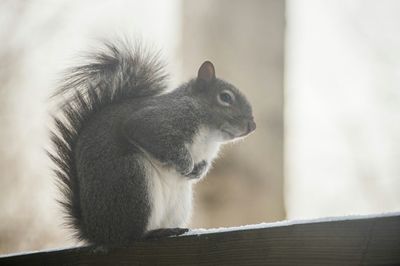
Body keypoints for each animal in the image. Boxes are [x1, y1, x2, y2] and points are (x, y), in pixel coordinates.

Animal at [50, 40, 255, 246]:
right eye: (225, 97)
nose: (252, 126)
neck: (209, 136)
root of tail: (98, 234)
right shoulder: (157, 120)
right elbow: (153, 135)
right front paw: (185, 164)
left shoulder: (205, 153)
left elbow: (204, 163)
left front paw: (198, 171)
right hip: (132, 180)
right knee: (131, 235)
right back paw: (153, 233)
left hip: (179, 203)